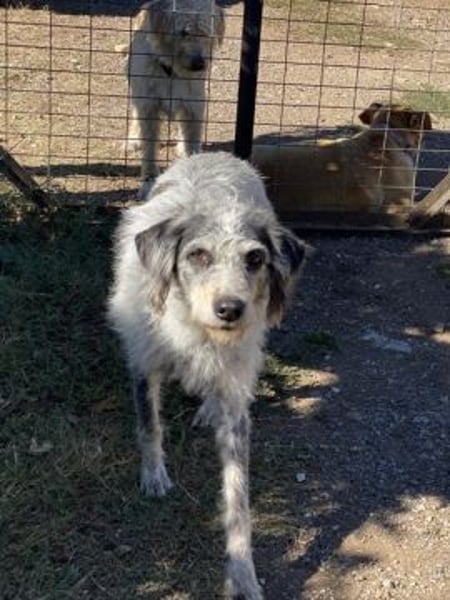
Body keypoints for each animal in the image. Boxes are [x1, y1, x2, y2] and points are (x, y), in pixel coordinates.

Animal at [107, 152, 306, 599]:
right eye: (197, 255)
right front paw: (154, 476)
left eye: (255, 259)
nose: (230, 309)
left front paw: (243, 572)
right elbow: (150, 426)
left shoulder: (236, 401)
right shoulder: (143, 361)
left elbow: (237, 497)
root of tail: (218, 154)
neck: (194, 327)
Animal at [124, 0, 225, 196]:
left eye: (205, 32)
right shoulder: (148, 106)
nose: (199, 64)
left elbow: (192, 140)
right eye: (183, 32)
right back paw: (133, 139)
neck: (173, 72)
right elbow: (149, 146)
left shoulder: (193, 106)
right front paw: (149, 180)